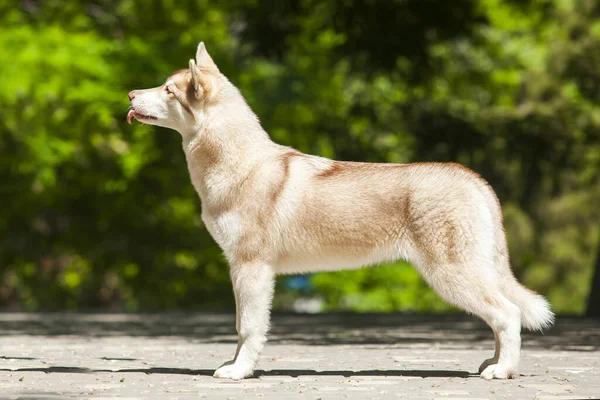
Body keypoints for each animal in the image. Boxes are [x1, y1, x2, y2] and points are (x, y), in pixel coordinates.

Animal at [126, 41, 552, 382]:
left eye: (167, 89)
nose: (129, 94)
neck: (238, 164)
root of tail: (473, 178)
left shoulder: (251, 267)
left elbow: (248, 328)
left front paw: (238, 371)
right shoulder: (243, 270)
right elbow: (240, 327)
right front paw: (236, 365)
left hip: (451, 274)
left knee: (508, 315)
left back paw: (502, 370)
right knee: (502, 316)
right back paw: (493, 363)